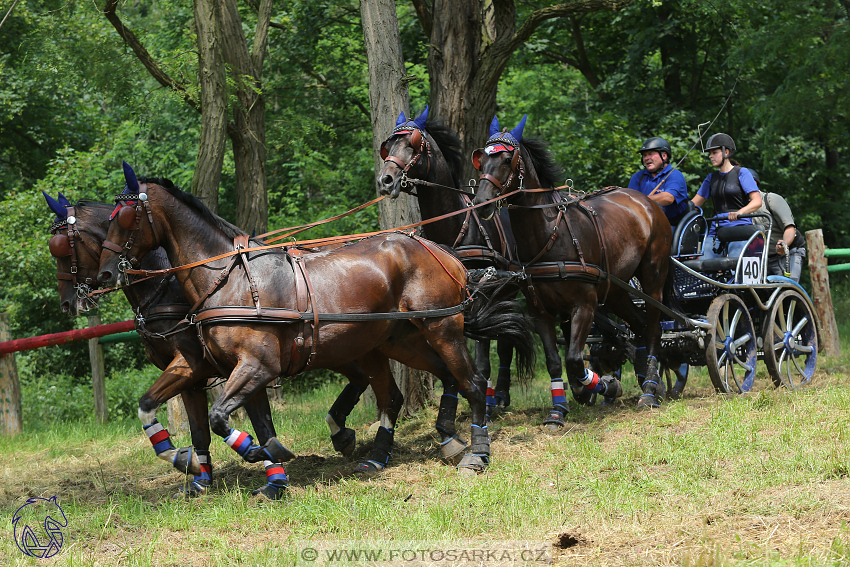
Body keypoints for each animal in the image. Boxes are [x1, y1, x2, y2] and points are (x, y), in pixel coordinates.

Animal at [44, 193, 294, 500]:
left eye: (63, 248)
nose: (66, 303)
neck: (164, 287)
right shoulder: (191, 379)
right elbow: (198, 431)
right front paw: (199, 478)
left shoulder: (191, 364)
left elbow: (147, 403)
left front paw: (180, 458)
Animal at [94, 165, 528, 480]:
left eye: (126, 217)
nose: (104, 274)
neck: (229, 280)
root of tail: (442, 252)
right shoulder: (231, 368)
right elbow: (234, 419)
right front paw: (261, 459)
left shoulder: (258, 365)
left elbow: (219, 417)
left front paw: (255, 452)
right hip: (397, 340)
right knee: (417, 387)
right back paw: (405, 450)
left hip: (442, 328)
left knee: (473, 382)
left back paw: (476, 453)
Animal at [376, 107, 528, 418]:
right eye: (389, 145)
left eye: (413, 144)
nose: (385, 180)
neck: (454, 225)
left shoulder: (480, 292)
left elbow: (481, 352)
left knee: (505, 342)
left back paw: (500, 395)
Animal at [470, 116, 668, 426]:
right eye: (481, 160)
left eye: (506, 159)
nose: (481, 203)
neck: (549, 233)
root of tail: (647, 202)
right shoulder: (540, 312)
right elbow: (555, 361)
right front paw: (559, 409)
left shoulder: (584, 305)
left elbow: (574, 359)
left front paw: (603, 385)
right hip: (616, 291)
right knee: (637, 327)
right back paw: (650, 380)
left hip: (653, 278)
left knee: (653, 328)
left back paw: (648, 389)